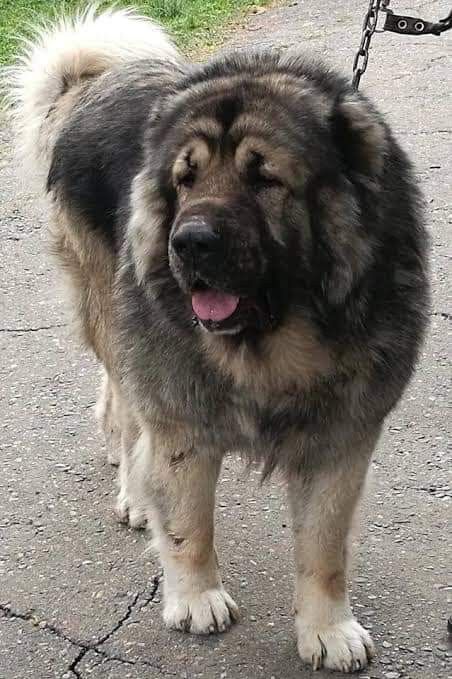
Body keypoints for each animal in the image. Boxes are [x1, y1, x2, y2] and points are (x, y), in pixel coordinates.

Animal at [7, 6, 430, 676]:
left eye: (265, 179)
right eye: (185, 179)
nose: (189, 243)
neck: (274, 343)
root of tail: (92, 87)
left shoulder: (342, 437)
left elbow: (324, 549)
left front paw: (327, 628)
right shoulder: (180, 417)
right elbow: (188, 523)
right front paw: (196, 597)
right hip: (113, 311)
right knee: (126, 409)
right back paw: (133, 489)